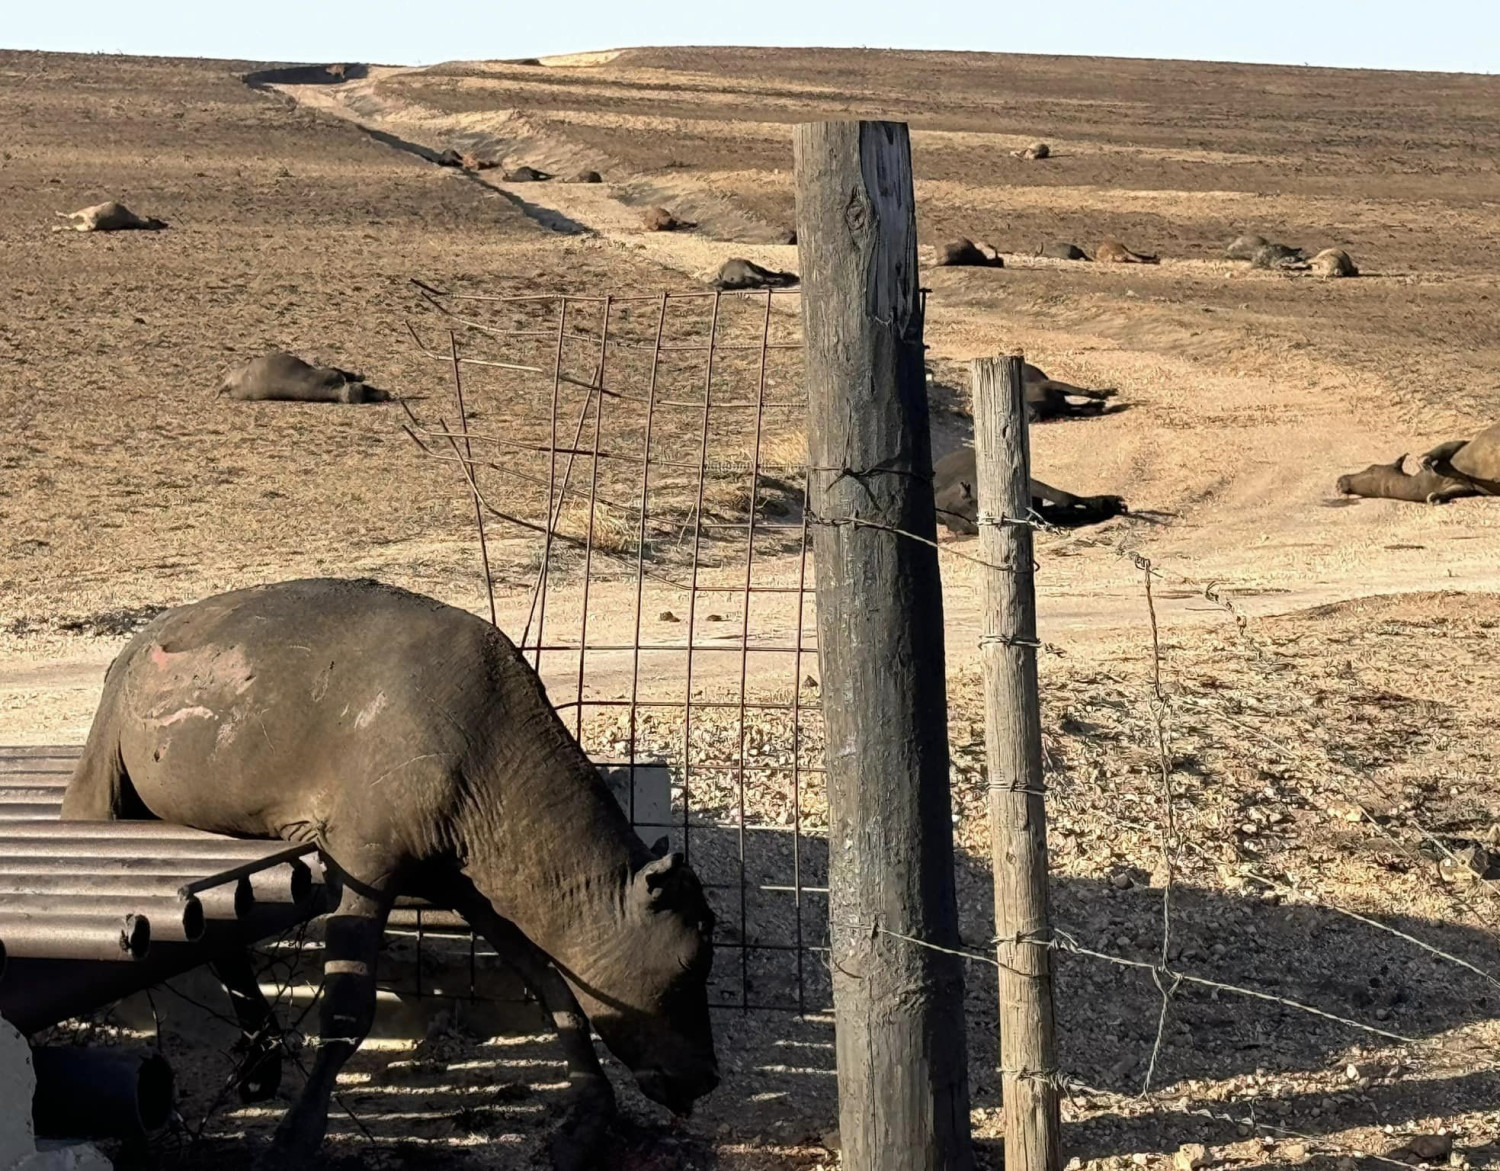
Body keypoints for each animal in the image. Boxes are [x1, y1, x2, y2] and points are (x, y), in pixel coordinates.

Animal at [67, 578, 723, 1163]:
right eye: (692, 963)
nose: (710, 1078)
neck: (490, 752)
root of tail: (138, 642)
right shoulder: (364, 865)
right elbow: (347, 1009)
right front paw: (295, 1138)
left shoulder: (480, 889)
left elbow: (556, 989)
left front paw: (589, 1116)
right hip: (102, 779)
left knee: (224, 944)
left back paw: (261, 1056)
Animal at [219, 349, 393, 404]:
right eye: (363, 389)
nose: (387, 394)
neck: (333, 391)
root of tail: (230, 384)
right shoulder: (332, 372)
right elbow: (344, 372)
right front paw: (360, 375)